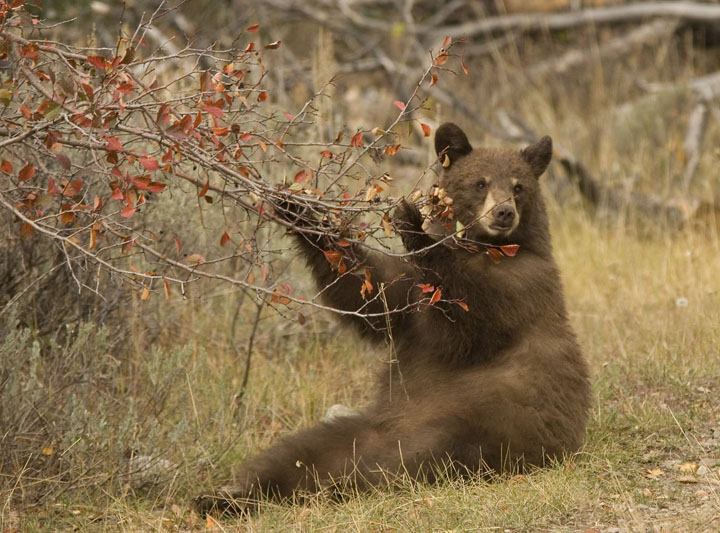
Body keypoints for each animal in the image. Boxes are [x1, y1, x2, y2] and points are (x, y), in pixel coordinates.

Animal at [193, 122, 591, 515]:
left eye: (518, 186)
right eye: (481, 183)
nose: (504, 213)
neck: (482, 249)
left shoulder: (521, 286)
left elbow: (464, 326)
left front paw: (412, 224)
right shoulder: (409, 291)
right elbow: (371, 294)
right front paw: (299, 210)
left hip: (476, 429)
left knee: (406, 459)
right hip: (362, 428)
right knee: (300, 453)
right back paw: (226, 497)